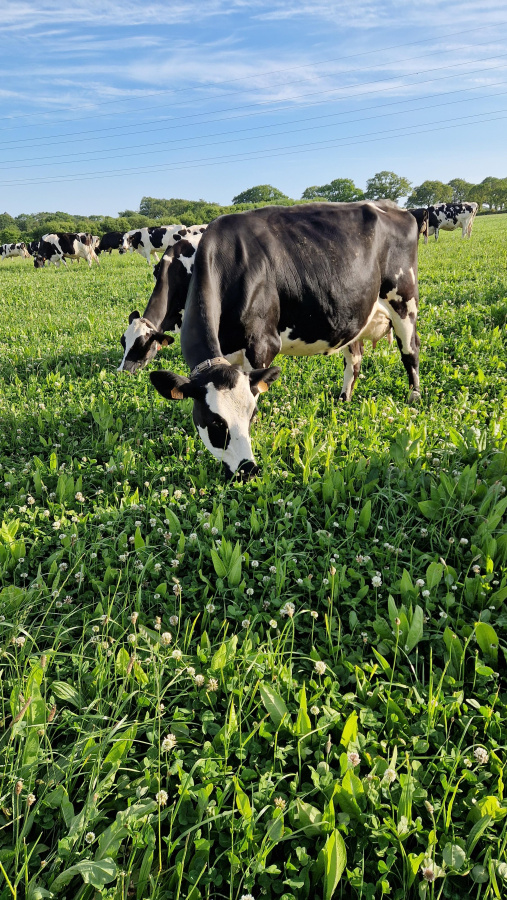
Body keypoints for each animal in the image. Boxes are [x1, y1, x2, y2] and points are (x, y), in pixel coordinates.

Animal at [148, 202, 421, 479]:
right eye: (215, 422)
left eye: (252, 416)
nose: (248, 470)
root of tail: (392, 206)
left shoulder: (263, 344)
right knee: (354, 358)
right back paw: (344, 398)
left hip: (404, 299)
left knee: (410, 351)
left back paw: (414, 397)